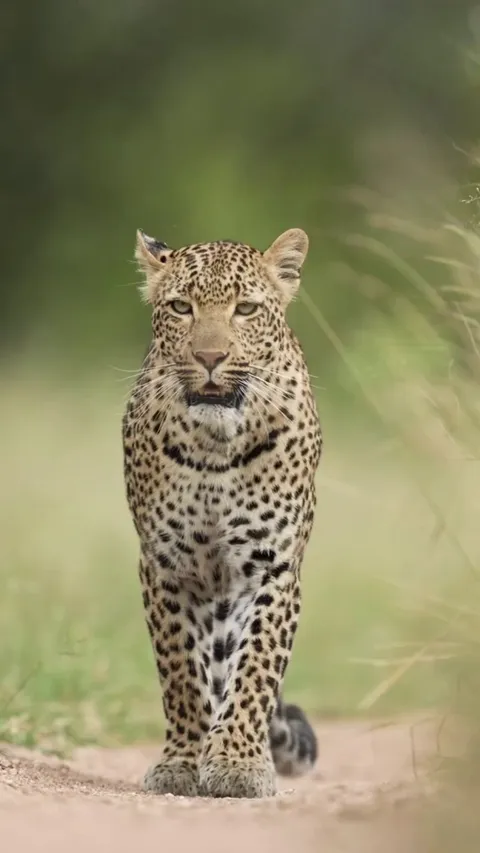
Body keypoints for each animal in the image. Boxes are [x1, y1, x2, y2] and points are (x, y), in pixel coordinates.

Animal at [122, 226, 322, 799]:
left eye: (246, 309)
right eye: (181, 307)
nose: (210, 357)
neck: (216, 446)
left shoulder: (272, 565)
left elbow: (256, 667)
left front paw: (237, 763)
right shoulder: (164, 566)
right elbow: (180, 674)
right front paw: (183, 763)